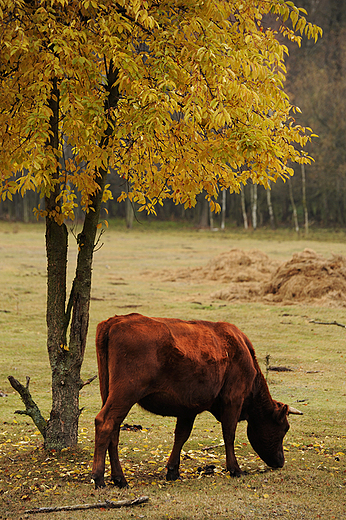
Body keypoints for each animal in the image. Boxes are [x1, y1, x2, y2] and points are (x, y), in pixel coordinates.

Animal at [90, 312, 302, 488]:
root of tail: (115, 321)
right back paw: (100, 478)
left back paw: (119, 479)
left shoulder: (188, 407)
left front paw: (173, 471)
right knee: (105, 423)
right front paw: (235, 469)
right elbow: (229, 434)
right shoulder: (233, 398)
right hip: (125, 393)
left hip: (109, 393)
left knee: (114, 431)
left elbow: (181, 435)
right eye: (284, 428)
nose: (281, 462)